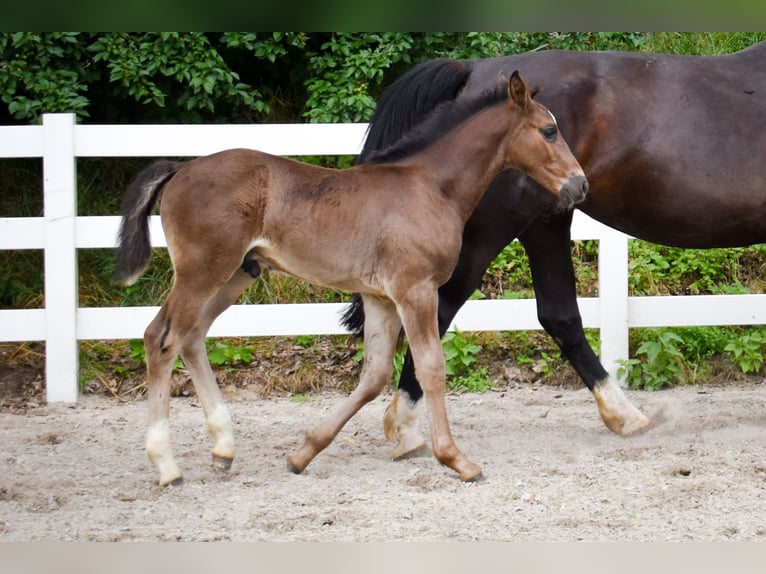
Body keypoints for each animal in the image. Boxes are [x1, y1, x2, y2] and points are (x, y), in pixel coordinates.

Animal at [114, 71, 588, 486]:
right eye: (549, 131)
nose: (579, 185)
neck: (431, 187)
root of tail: (180, 169)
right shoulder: (415, 290)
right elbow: (431, 367)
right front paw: (456, 459)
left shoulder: (380, 297)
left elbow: (374, 375)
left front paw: (302, 453)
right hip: (203, 269)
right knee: (162, 338)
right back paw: (167, 466)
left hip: (235, 274)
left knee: (192, 336)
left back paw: (223, 449)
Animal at [342, 41, 766, 460]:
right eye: (548, 131)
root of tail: (476, 68)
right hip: (492, 230)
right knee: (439, 310)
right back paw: (405, 427)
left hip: (545, 223)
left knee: (559, 316)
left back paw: (624, 416)